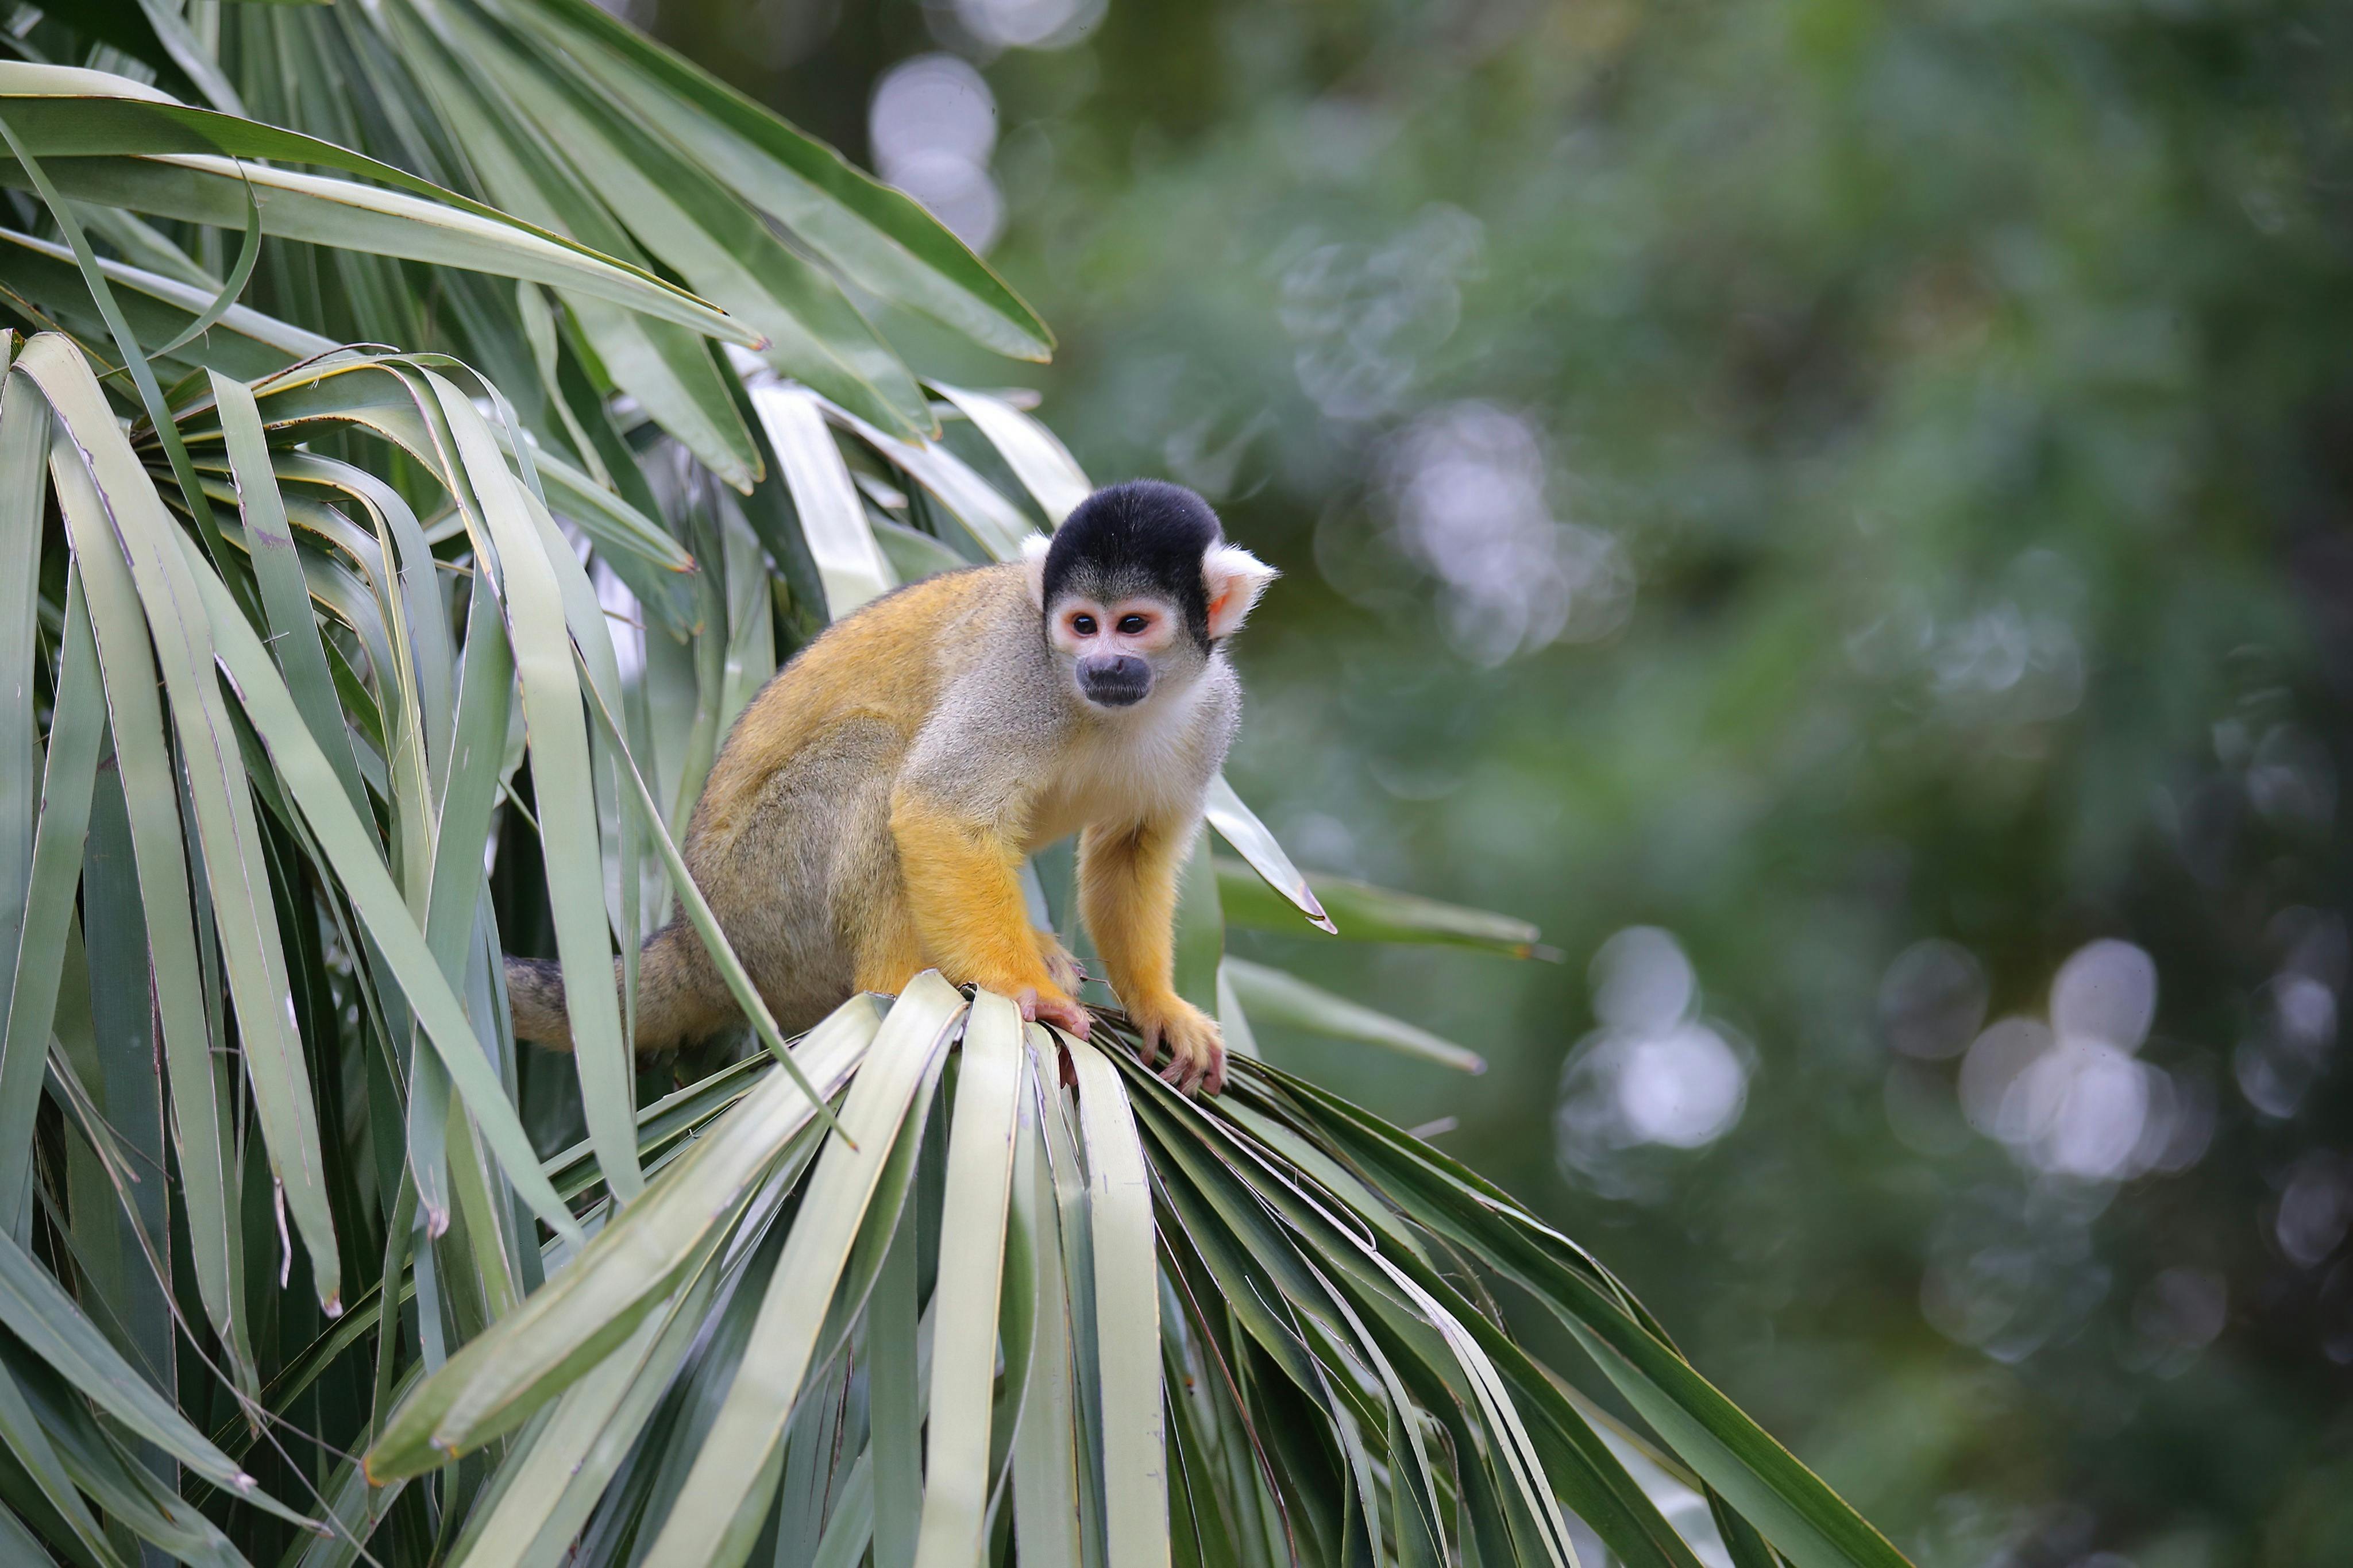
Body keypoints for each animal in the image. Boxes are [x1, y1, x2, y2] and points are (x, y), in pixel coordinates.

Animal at [504, 479, 1276, 1095]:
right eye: (1082, 625)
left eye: (1132, 625)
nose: (1103, 664)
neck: (1110, 707)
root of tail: (693, 942)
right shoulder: (1022, 674)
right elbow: (939, 804)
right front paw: (1023, 988)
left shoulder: (1213, 713)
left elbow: (1132, 852)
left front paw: (1159, 1006)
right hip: (761, 906)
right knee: (875, 755)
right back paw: (900, 988)